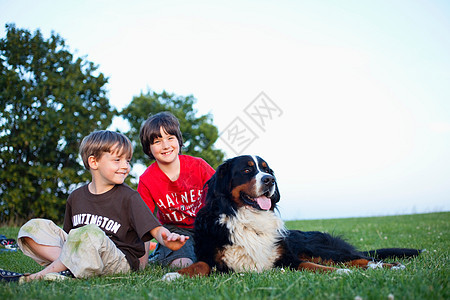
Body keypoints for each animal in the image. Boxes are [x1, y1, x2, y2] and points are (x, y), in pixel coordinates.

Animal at [163, 156, 422, 280]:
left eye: (267, 169)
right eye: (247, 170)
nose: (269, 180)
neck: (248, 220)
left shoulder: (287, 258)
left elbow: (311, 266)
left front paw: (338, 273)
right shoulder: (214, 259)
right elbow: (200, 265)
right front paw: (173, 275)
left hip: (320, 249)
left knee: (361, 259)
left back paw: (390, 266)